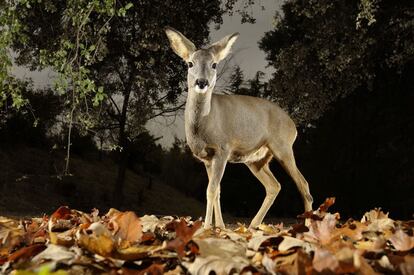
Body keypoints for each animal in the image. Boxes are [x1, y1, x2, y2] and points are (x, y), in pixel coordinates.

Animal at [165, 27, 314, 230]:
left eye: (214, 64)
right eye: (190, 63)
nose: (201, 82)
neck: (204, 125)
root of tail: (294, 127)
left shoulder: (222, 149)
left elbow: (211, 190)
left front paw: (206, 228)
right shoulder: (207, 159)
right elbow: (217, 190)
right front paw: (219, 227)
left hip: (283, 147)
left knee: (303, 184)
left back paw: (308, 227)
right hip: (256, 160)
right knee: (274, 186)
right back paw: (253, 225)